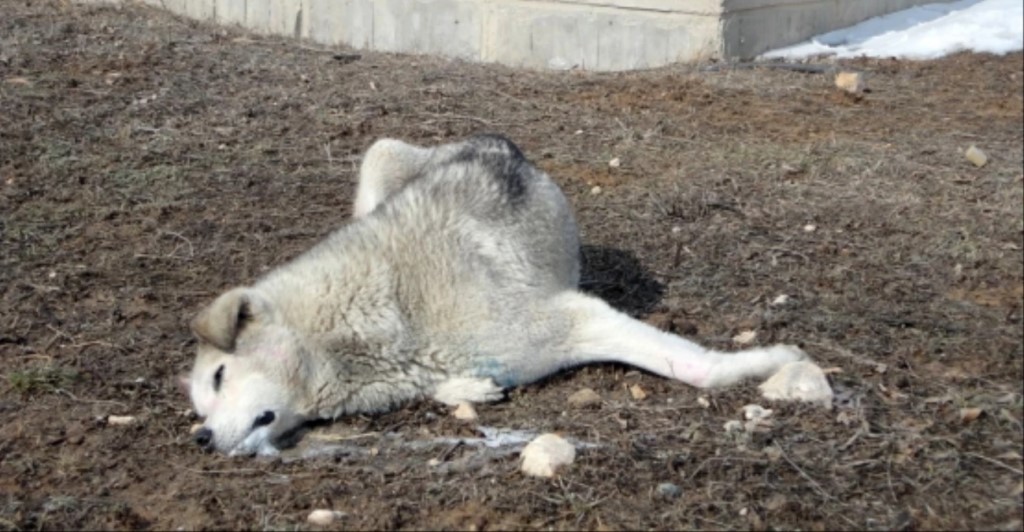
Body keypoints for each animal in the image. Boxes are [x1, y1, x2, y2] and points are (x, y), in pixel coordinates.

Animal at [186, 135, 823, 454]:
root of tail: (496, 142)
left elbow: (700, 370)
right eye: (200, 405)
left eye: (219, 376)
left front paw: (774, 362)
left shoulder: (576, 318)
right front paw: (462, 388)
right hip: (378, 161)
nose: (199, 437)